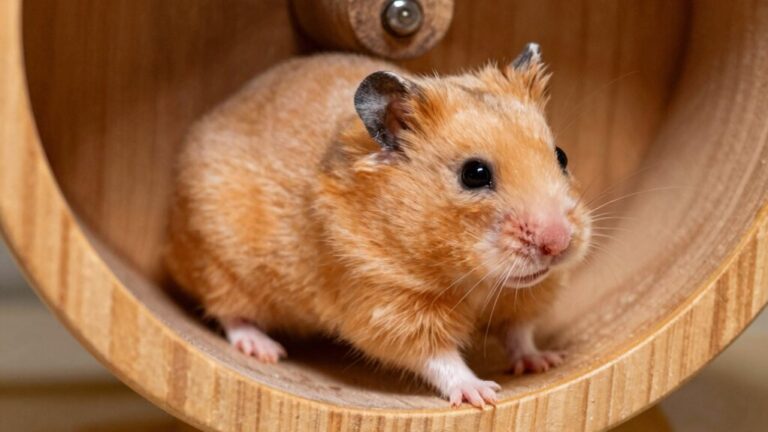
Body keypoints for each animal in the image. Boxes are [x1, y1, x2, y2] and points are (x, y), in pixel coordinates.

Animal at [165, 43, 592, 407]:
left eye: (561, 155)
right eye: (474, 174)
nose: (558, 242)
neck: (473, 279)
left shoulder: (525, 295)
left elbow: (520, 332)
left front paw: (545, 361)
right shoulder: (386, 301)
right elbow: (437, 355)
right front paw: (483, 394)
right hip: (221, 263)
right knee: (229, 312)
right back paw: (265, 350)